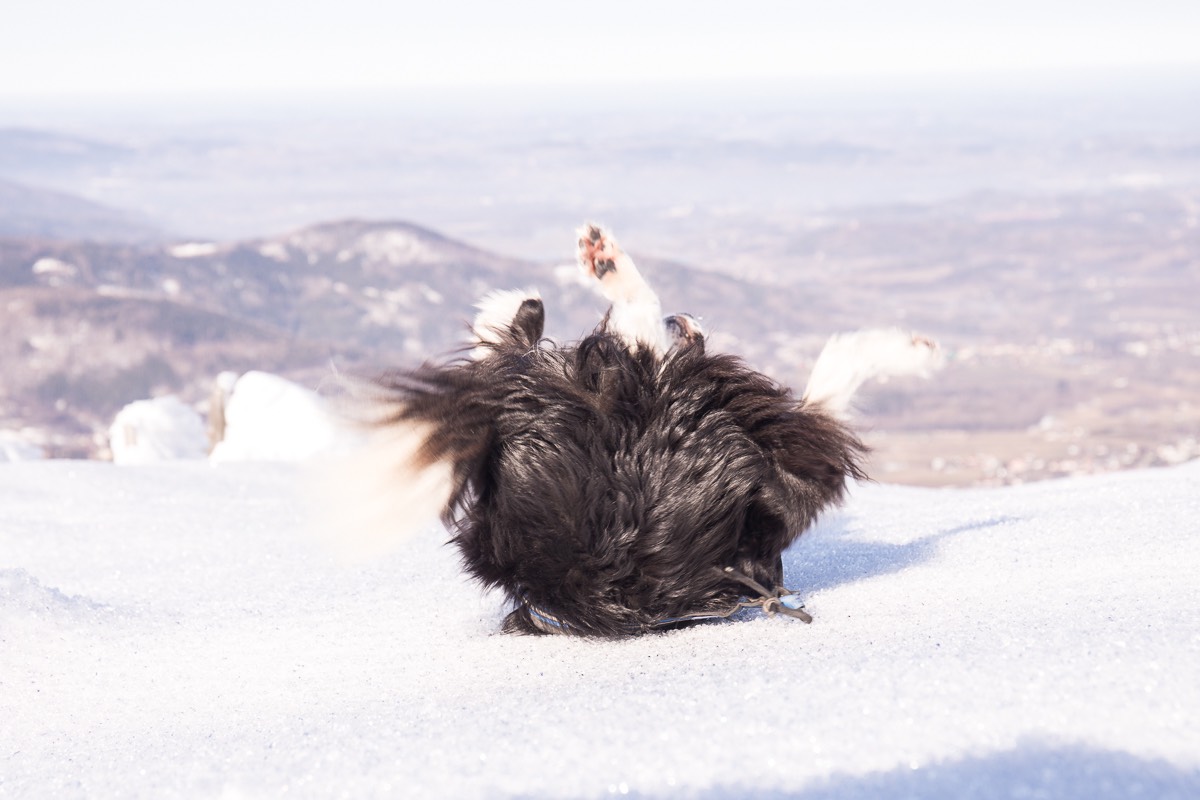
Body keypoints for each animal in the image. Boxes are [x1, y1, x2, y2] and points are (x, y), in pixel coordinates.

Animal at [326, 221, 936, 633]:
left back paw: (534, 299)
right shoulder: (789, 464)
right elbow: (832, 391)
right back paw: (604, 263)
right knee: (637, 324)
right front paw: (912, 351)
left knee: (512, 354)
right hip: (674, 407)